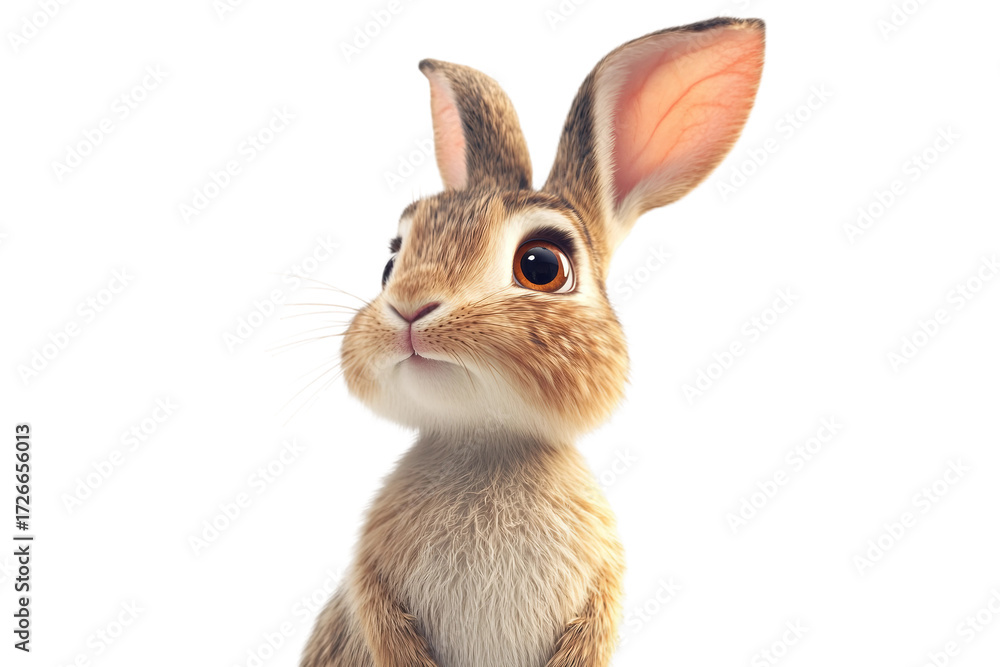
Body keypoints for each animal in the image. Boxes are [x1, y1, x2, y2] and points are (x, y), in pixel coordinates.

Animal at [301, 16, 765, 667]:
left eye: (542, 265)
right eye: (391, 262)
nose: (409, 307)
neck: (487, 444)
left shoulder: (602, 585)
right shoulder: (372, 577)